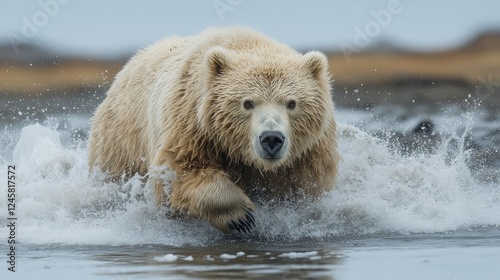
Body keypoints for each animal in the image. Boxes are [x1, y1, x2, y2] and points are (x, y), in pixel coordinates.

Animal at [90, 27, 340, 234]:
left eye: (291, 103)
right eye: (247, 103)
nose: (271, 138)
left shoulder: (306, 154)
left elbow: (305, 189)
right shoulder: (192, 122)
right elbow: (177, 171)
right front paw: (241, 216)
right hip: (121, 142)